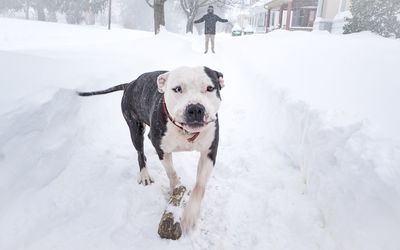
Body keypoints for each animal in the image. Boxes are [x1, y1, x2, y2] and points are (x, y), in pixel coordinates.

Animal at [76, 66, 223, 230]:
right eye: (177, 89)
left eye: (210, 88)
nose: (195, 108)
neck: (184, 131)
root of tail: (130, 83)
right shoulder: (163, 151)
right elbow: (171, 173)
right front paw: (175, 189)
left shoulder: (209, 152)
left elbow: (199, 185)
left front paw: (190, 215)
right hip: (135, 128)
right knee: (140, 153)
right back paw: (144, 174)